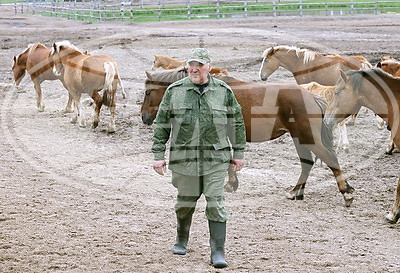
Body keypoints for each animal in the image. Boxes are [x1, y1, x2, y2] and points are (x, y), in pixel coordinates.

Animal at [142, 68, 354, 206]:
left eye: (148, 92)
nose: (144, 117)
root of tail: (311, 97)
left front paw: (229, 184)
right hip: (299, 138)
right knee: (307, 163)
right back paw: (296, 192)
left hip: (307, 137)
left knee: (329, 158)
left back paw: (345, 193)